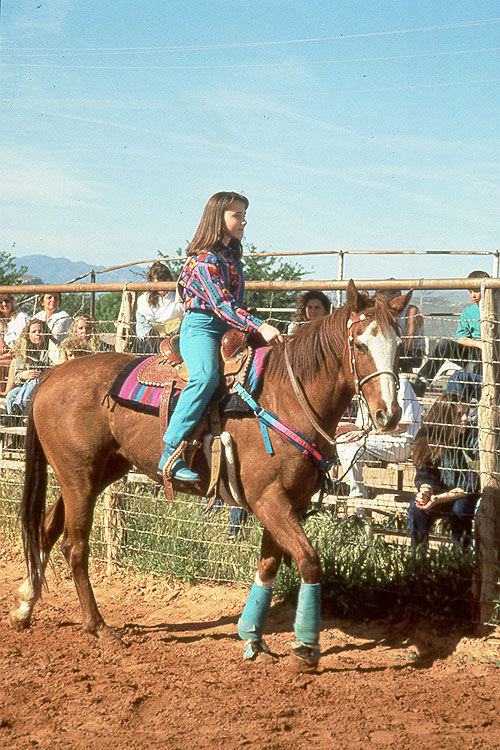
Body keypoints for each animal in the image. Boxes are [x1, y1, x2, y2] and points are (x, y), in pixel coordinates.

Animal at [8, 282, 410, 668]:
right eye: (360, 345)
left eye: (398, 347)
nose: (388, 414)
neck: (286, 397)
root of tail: (50, 377)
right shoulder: (269, 500)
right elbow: (309, 562)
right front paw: (305, 649)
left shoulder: (287, 503)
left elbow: (268, 566)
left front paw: (253, 639)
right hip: (77, 475)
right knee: (74, 546)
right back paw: (98, 626)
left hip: (94, 475)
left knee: (45, 529)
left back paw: (25, 606)